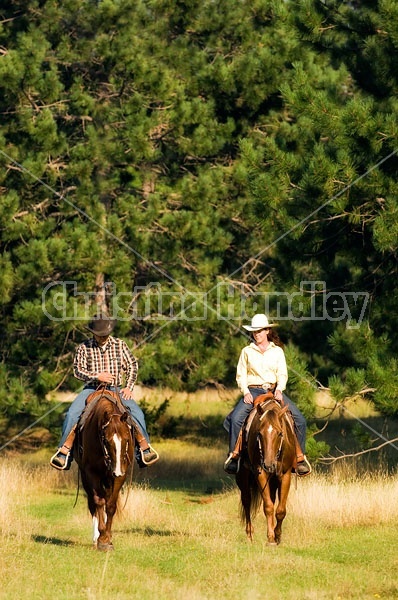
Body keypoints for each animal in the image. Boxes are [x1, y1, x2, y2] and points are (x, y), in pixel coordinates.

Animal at [75, 392, 134, 552]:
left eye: (127, 439)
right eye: (106, 441)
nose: (116, 471)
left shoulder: (120, 475)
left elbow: (111, 505)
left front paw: (108, 538)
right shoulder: (91, 472)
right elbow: (99, 502)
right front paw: (102, 538)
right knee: (93, 503)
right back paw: (95, 538)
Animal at [236, 396, 296, 548]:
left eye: (280, 433)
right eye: (259, 434)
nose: (268, 465)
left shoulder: (285, 475)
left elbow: (280, 509)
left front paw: (277, 536)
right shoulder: (260, 474)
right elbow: (268, 507)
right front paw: (270, 538)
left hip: (273, 480)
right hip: (243, 476)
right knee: (246, 500)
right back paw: (250, 535)